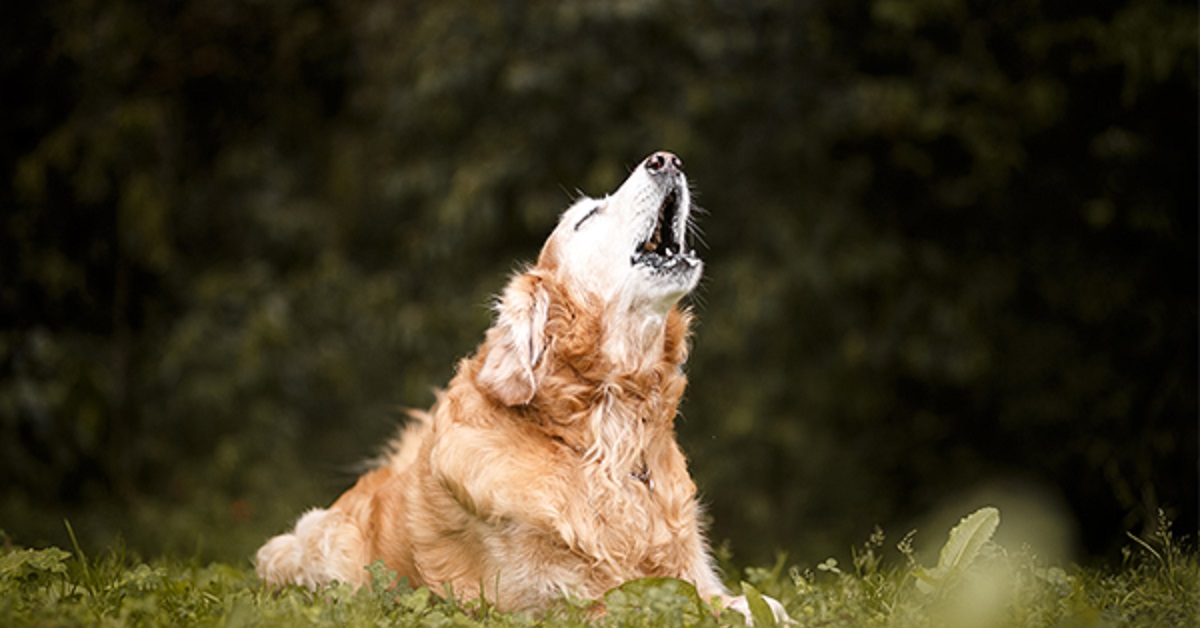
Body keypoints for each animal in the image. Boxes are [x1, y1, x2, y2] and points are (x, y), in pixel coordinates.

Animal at [253, 152, 787, 624]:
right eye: (586, 217)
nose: (666, 159)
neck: (605, 435)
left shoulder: (691, 571)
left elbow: (750, 602)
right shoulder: (551, 602)